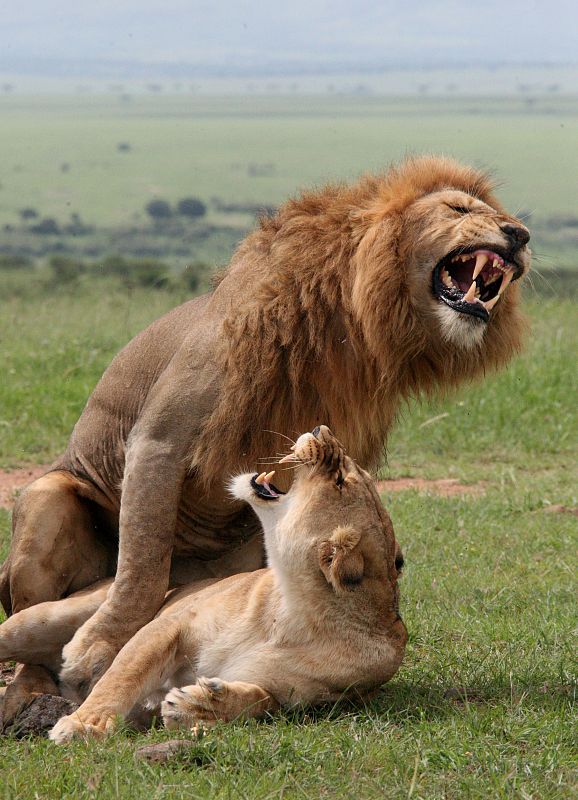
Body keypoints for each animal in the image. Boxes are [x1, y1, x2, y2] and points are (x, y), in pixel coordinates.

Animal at [0, 428, 407, 740]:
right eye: (347, 475)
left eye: (338, 480)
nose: (321, 429)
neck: (294, 614)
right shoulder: (168, 626)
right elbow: (120, 675)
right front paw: (86, 723)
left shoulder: (305, 698)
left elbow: (261, 702)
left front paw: (200, 705)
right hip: (49, 618)